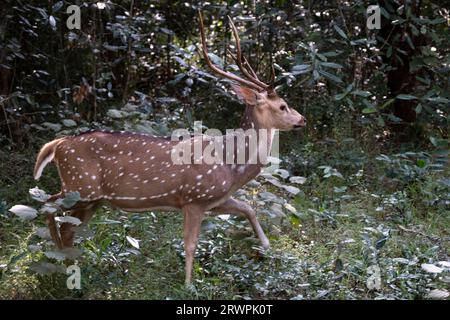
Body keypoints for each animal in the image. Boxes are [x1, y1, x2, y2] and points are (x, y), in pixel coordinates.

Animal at [34, 12, 306, 284]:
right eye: (283, 106)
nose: (302, 119)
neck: (231, 165)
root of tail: (58, 144)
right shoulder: (195, 197)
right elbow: (190, 244)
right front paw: (188, 284)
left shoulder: (215, 198)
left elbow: (248, 208)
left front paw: (267, 247)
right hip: (80, 186)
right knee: (48, 205)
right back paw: (58, 260)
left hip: (91, 198)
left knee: (66, 225)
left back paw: (65, 262)